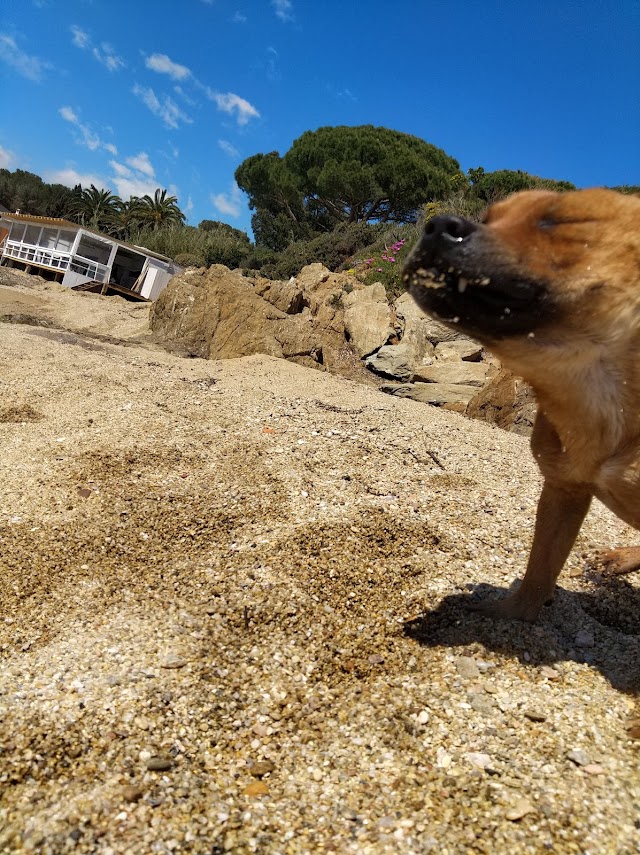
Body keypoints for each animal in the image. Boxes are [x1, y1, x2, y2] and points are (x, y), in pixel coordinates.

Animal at [402, 189, 640, 620]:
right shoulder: (563, 490)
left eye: (557, 221)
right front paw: (510, 613)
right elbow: (539, 569)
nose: (437, 225)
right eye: (488, 217)